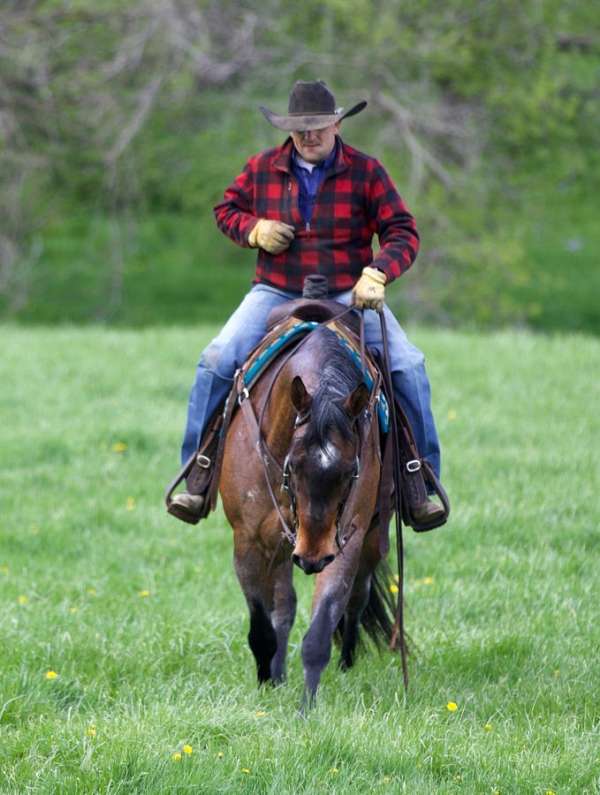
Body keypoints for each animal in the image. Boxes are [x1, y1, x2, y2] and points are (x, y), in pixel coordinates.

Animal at [219, 320, 404, 706]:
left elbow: (321, 630)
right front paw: (267, 684)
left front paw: (306, 708)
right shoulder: (249, 540)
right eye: (293, 465)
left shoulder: (345, 541)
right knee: (284, 606)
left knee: (357, 597)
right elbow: (262, 625)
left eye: (351, 471)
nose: (312, 557)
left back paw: (346, 664)